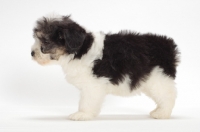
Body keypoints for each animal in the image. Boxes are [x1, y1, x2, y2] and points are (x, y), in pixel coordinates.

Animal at [31, 13, 180, 120]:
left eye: (45, 42)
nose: (32, 53)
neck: (80, 50)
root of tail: (168, 44)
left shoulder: (93, 85)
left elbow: (87, 101)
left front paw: (82, 114)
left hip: (159, 78)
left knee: (168, 95)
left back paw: (162, 113)